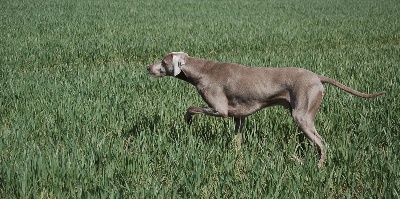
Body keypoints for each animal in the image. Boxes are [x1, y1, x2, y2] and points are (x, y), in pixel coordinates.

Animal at [147, 51, 384, 166]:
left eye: (163, 61)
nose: (148, 67)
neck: (202, 70)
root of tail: (317, 77)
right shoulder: (238, 116)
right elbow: (237, 140)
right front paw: (237, 158)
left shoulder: (220, 110)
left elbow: (190, 108)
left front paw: (187, 121)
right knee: (317, 142)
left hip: (301, 115)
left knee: (321, 143)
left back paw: (317, 166)